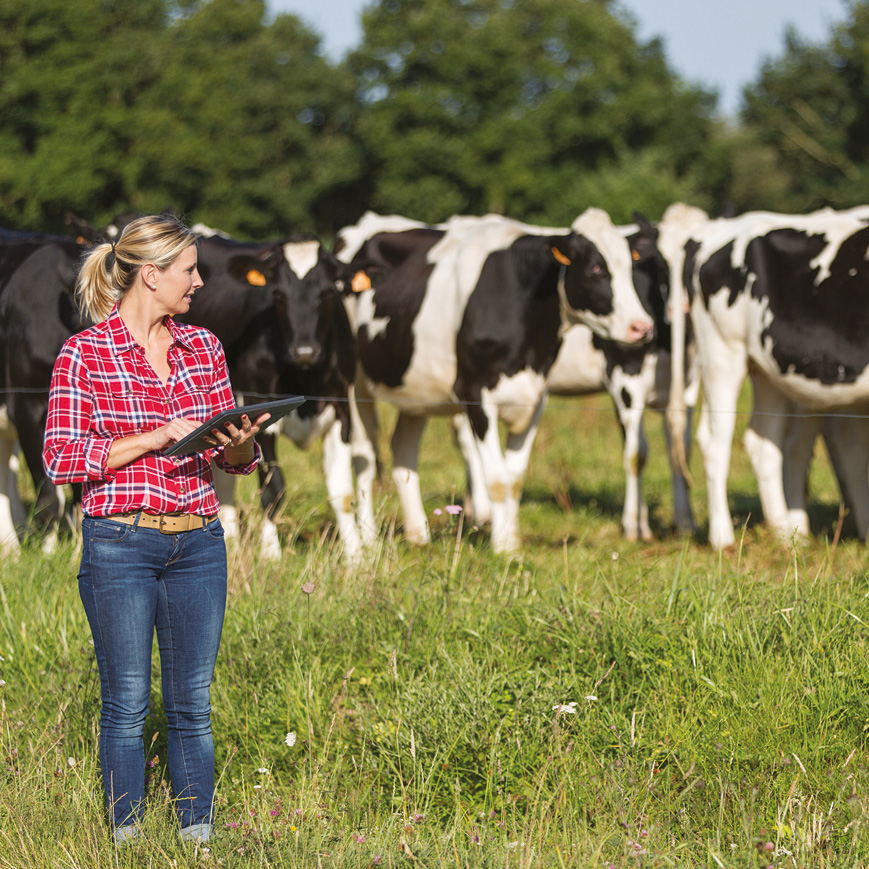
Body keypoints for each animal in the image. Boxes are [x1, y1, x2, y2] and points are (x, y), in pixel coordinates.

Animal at [336, 207, 656, 552]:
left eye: (630, 267)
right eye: (596, 268)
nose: (642, 326)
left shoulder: (536, 397)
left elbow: (514, 479)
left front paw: (512, 542)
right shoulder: (475, 393)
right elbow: (498, 479)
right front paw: (502, 548)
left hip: (414, 390)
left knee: (403, 451)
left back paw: (419, 535)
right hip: (355, 385)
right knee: (364, 456)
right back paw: (369, 538)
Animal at [668, 206, 869, 544]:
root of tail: (715, 230)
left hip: (768, 369)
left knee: (764, 442)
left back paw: (787, 536)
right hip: (722, 353)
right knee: (714, 440)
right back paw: (723, 538)